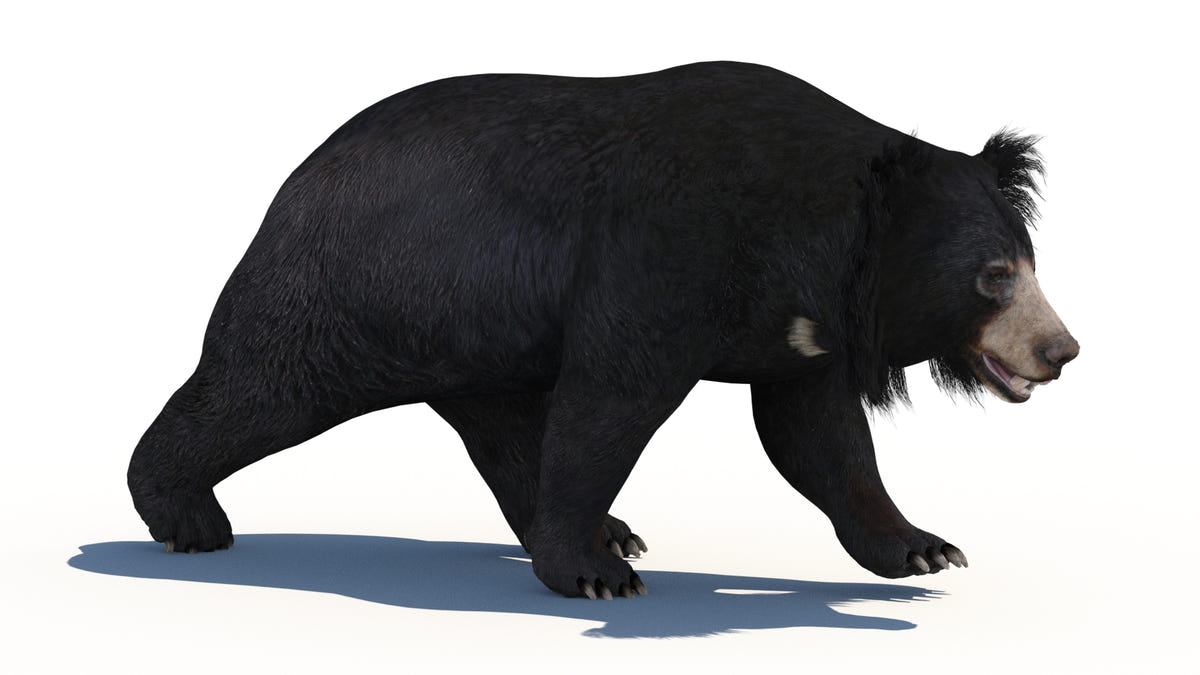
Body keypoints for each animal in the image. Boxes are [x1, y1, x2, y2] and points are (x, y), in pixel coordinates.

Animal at [128, 61, 1079, 600]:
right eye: (994, 276)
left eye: (1032, 262)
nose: (1061, 351)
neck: (814, 240)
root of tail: (295, 179)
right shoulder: (665, 255)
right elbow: (611, 401)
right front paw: (598, 578)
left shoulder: (799, 329)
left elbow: (820, 437)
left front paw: (925, 550)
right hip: (364, 293)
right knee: (260, 385)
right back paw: (185, 515)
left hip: (475, 341)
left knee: (505, 432)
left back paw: (608, 527)